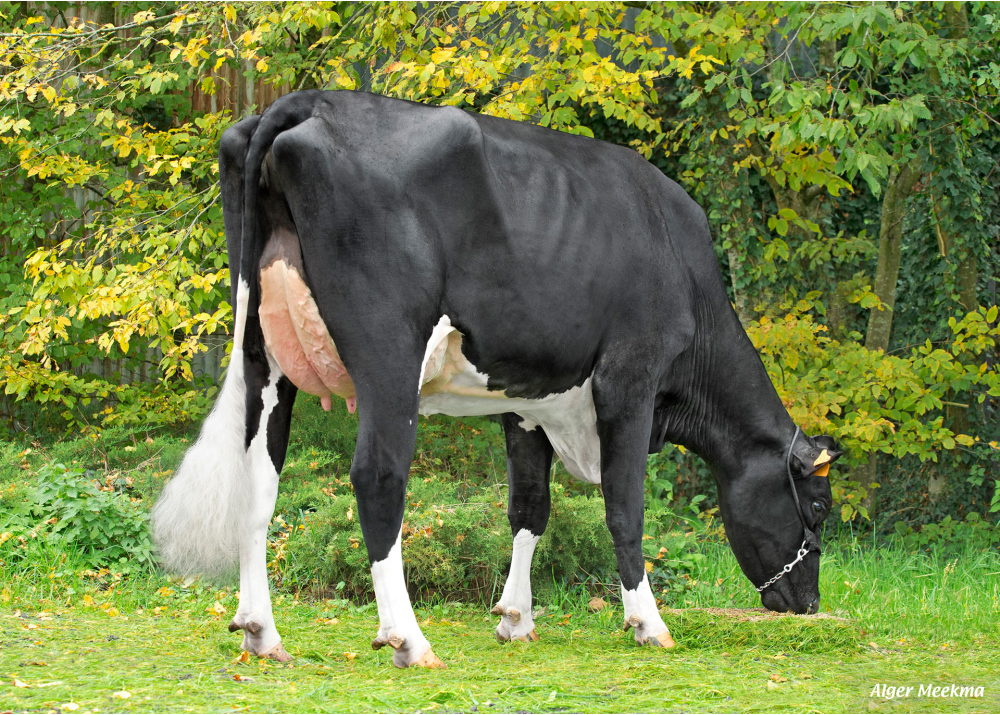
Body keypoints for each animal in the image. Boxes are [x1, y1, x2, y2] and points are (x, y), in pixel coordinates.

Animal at [154, 91, 844, 672]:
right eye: (816, 507)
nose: (808, 604)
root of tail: (310, 99)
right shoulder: (630, 379)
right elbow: (624, 506)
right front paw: (647, 623)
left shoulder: (529, 399)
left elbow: (529, 508)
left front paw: (516, 618)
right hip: (388, 351)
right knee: (377, 476)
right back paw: (409, 639)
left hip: (262, 355)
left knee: (258, 479)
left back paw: (261, 632)